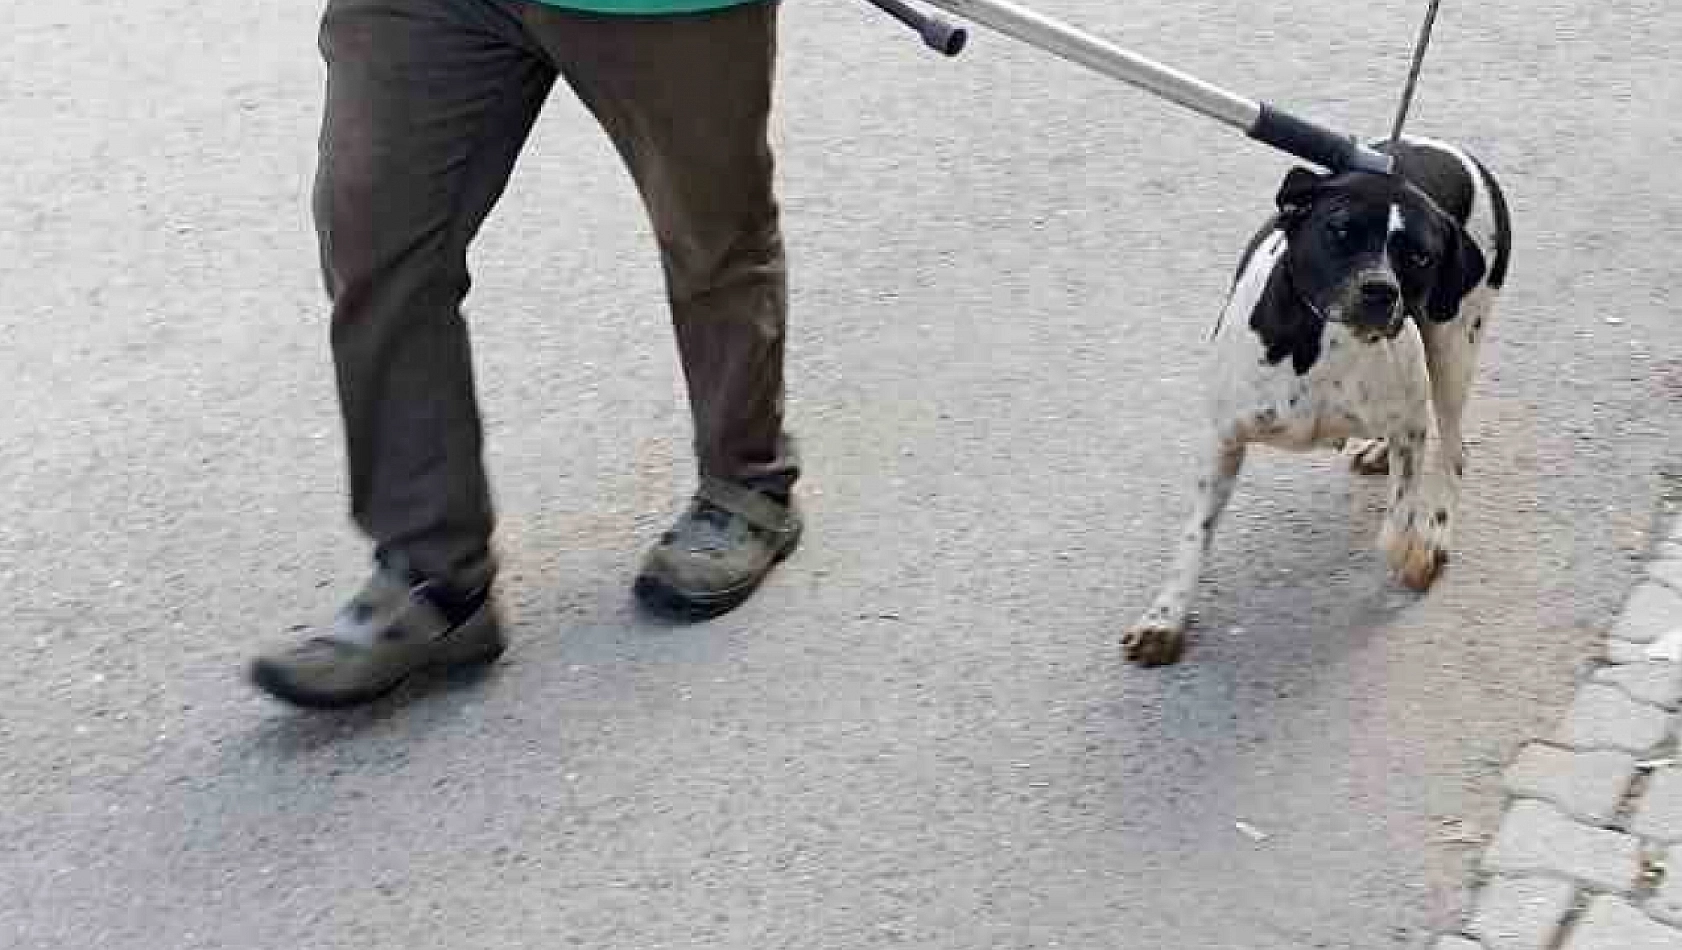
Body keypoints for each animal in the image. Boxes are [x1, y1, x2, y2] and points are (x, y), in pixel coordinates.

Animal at [1123, 135, 1520, 665]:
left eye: (1420, 256)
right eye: (1340, 230)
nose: (1380, 290)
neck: (1324, 344)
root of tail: (1457, 152)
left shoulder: (1411, 423)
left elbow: (1397, 520)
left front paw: (1412, 547)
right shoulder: (1224, 439)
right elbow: (1195, 535)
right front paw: (1164, 619)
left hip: (1454, 349)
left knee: (1455, 451)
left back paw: (1434, 530)